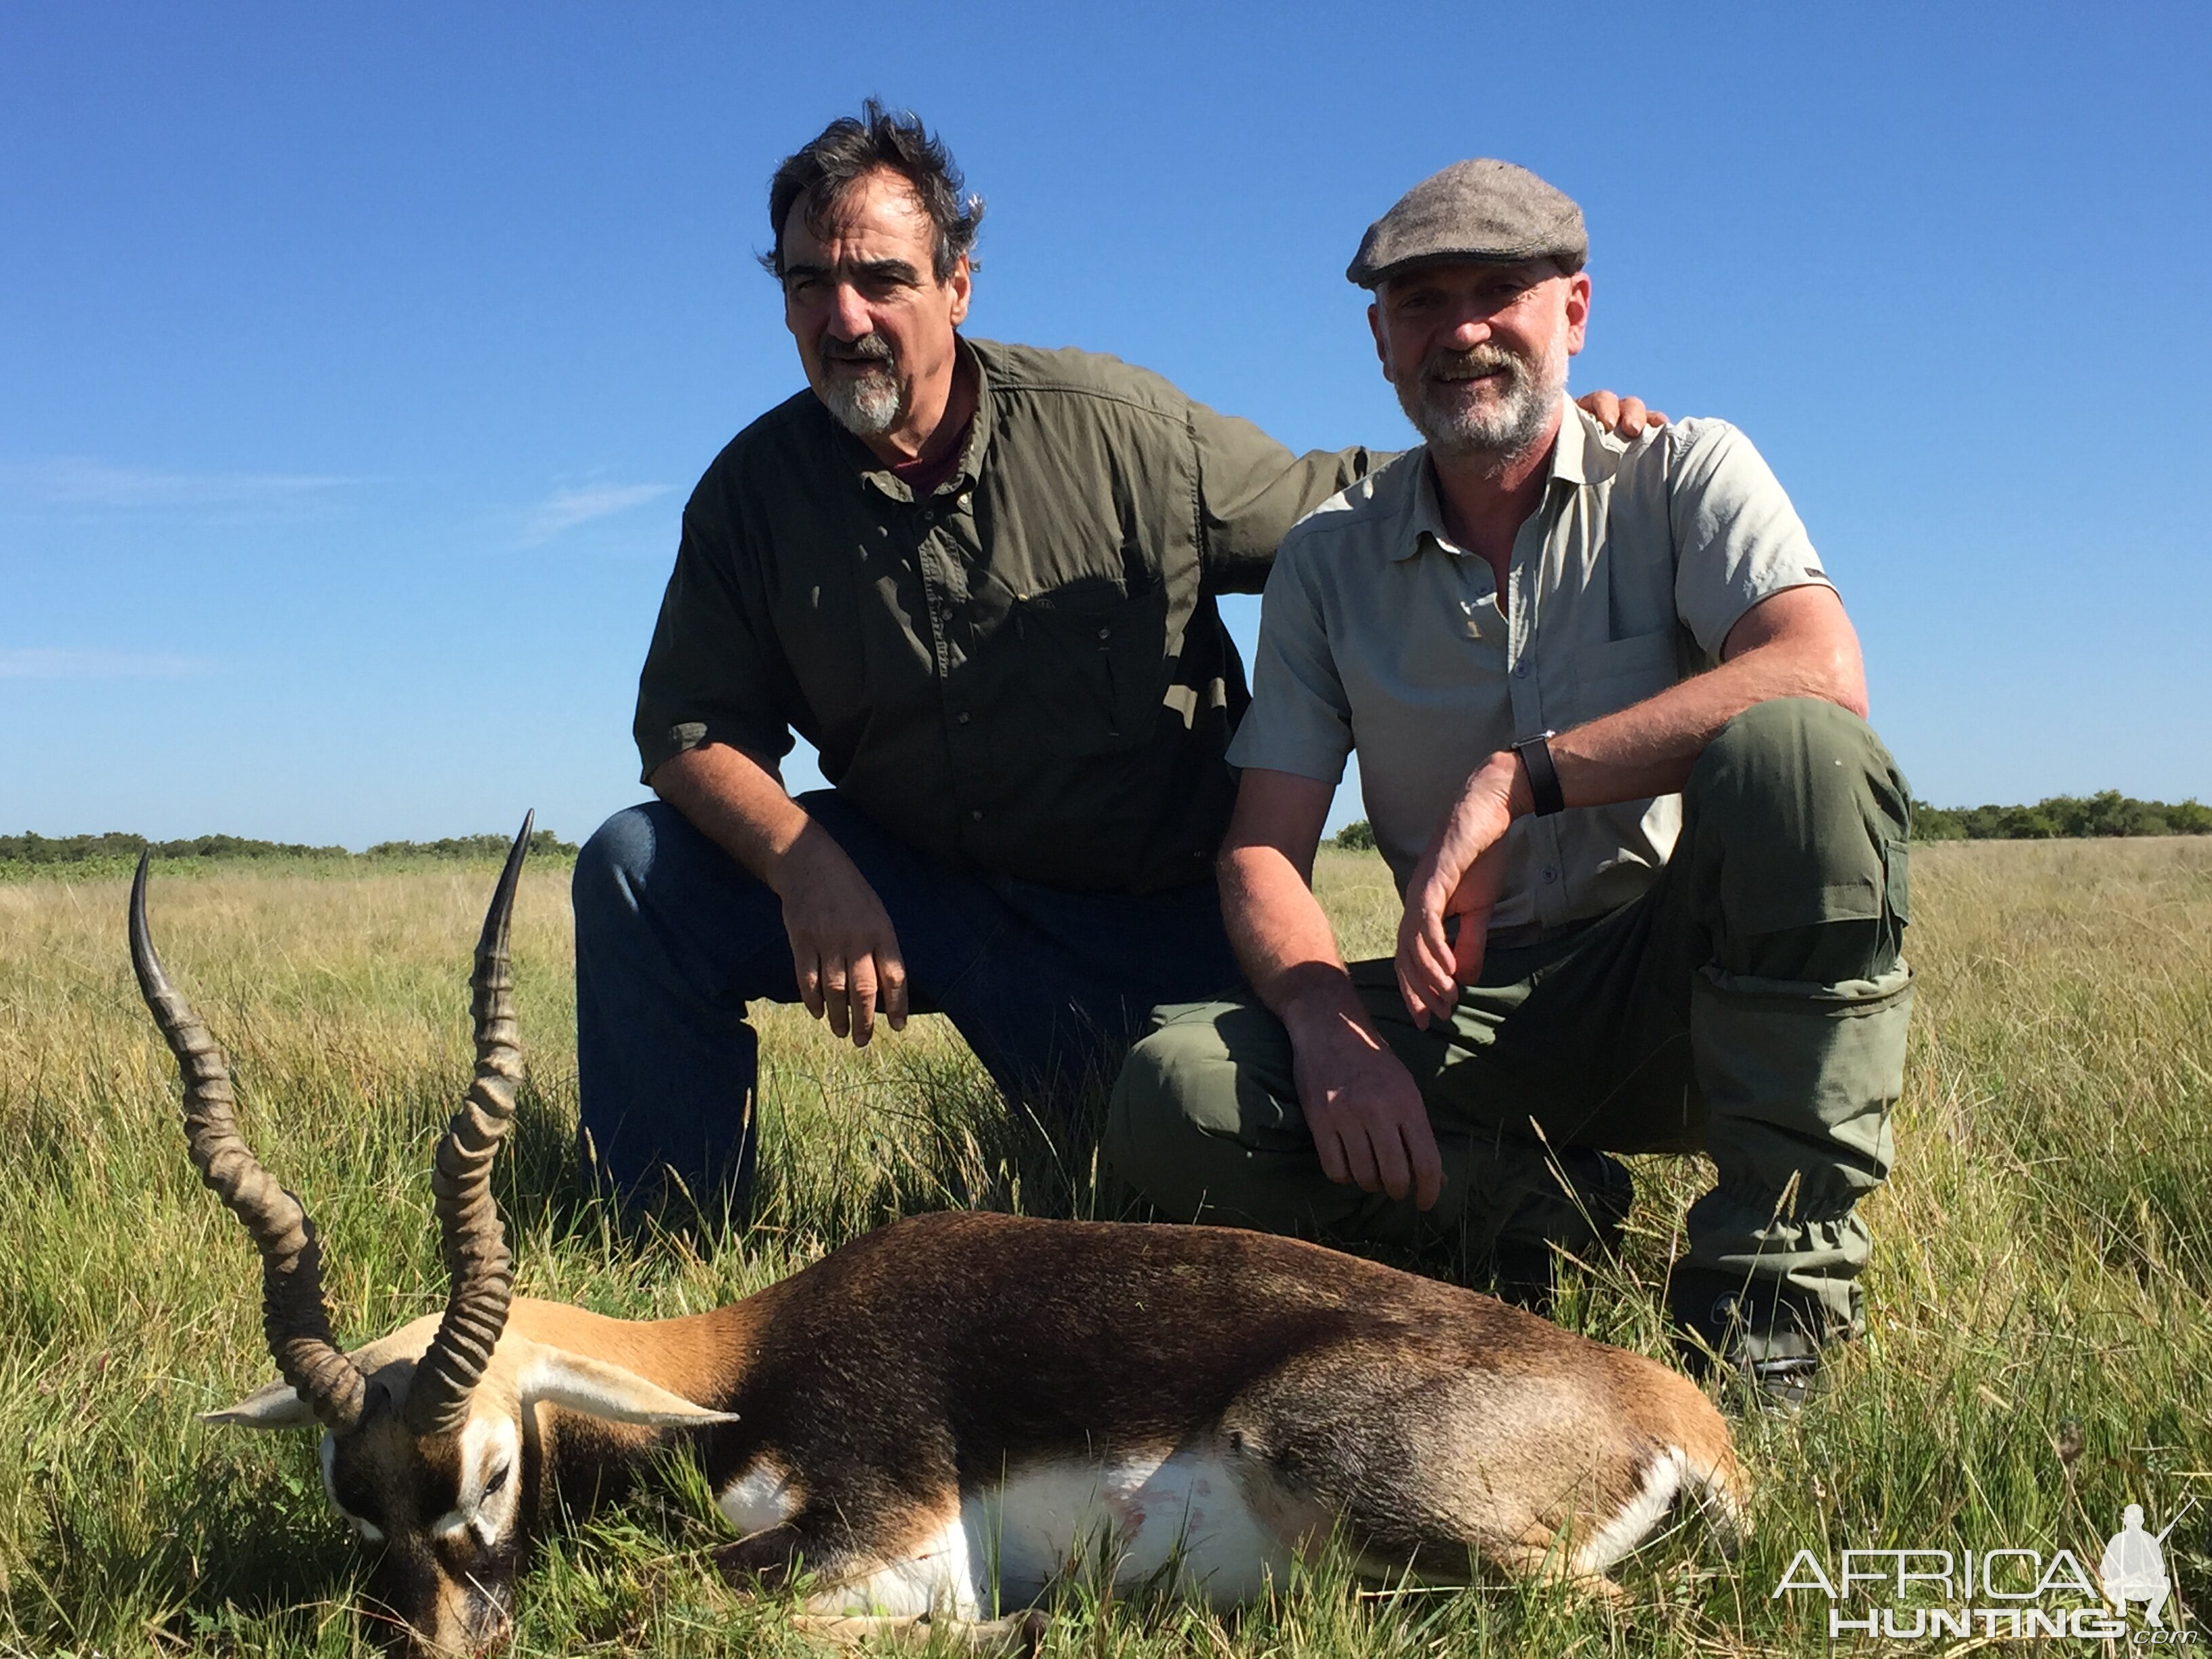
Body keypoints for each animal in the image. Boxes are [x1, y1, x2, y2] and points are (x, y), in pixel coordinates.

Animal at [134, 827, 1743, 1654]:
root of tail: (1677, 1412)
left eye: (485, 1470)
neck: (732, 1372)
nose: (432, 1640)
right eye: (347, 1498)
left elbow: (665, 1602)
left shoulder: (883, 1540)